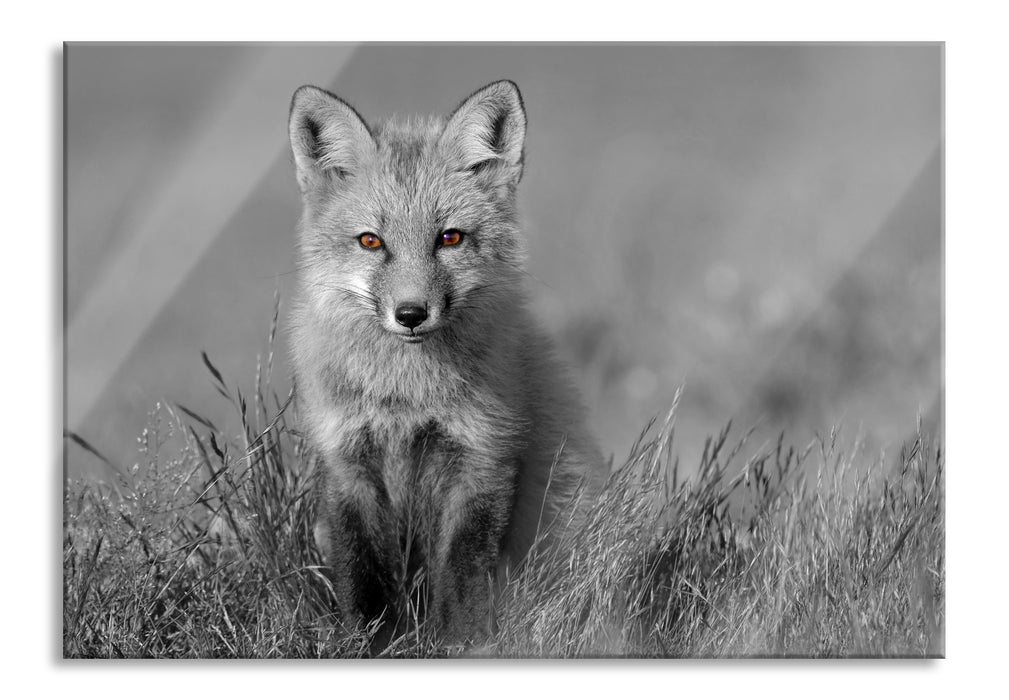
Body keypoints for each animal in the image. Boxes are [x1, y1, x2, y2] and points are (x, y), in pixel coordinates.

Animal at [286, 79, 607, 646]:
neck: (405, 397)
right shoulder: (346, 460)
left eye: (449, 238)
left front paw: (462, 644)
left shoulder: (484, 455)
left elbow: (460, 571)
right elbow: (361, 572)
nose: (411, 314)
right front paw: (368, 645)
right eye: (371, 241)